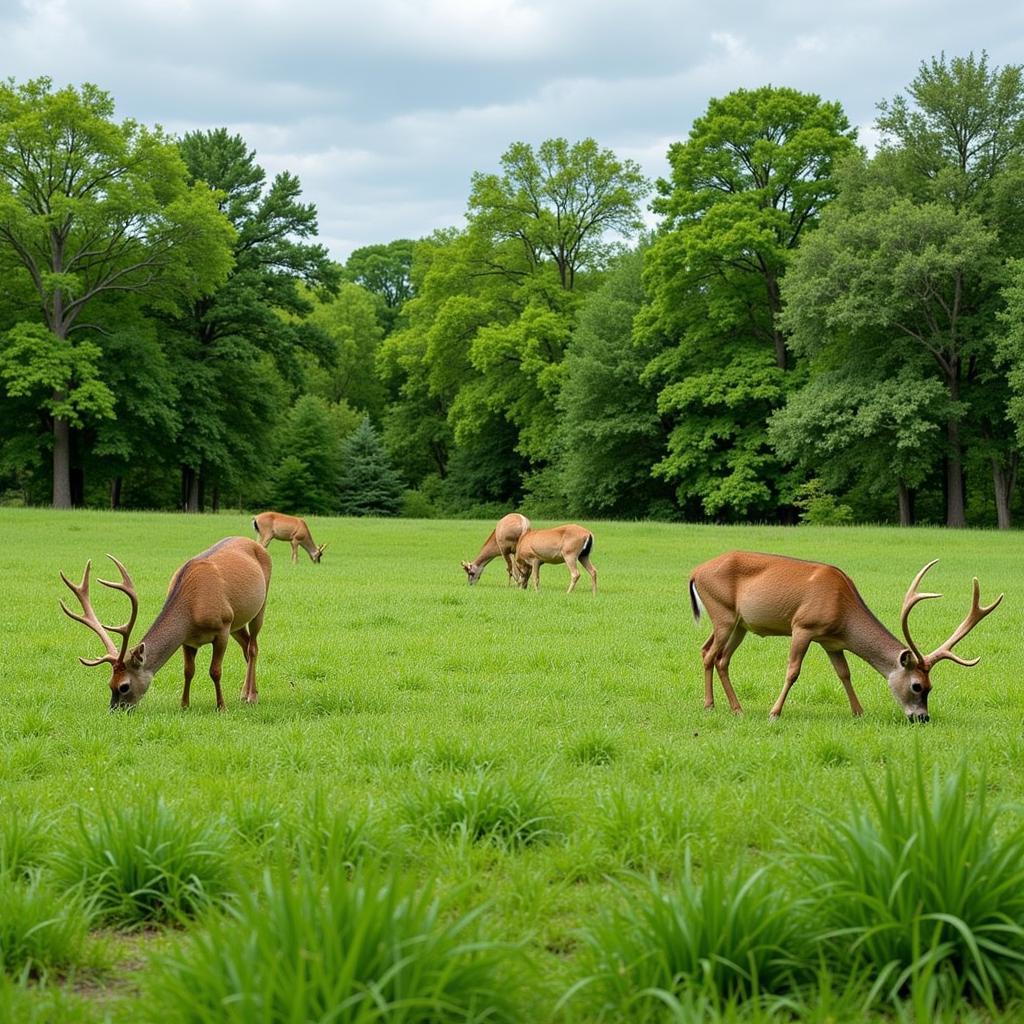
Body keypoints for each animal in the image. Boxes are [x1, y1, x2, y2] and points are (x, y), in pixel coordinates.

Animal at [61, 536, 272, 712]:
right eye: (109, 684)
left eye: (124, 686)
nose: (114, 711)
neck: (192, 612)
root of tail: (254, 543)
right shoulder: (188, 640)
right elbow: (188, 671)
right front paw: (184, 705)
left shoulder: (223, 627)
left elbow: (215, 671)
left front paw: (221, 707)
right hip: (238, 622)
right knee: (246, 646)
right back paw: (245, 693)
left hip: (259, 605)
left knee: (253, 647)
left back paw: (252, 697)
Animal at [688, 548, 999, 724]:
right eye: (917, 686)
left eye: (931, 686)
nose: (922, 718)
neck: (843, 613)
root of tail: (694, 572)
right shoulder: (803, 626)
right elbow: (793, 671)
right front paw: (774, 713)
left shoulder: (831, 641)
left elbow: (844, 673)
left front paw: (859, 712)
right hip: (723, 613)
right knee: (710, 654)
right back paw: (709, 705)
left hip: (739, 623)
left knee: (717, 656)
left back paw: (736, 708)